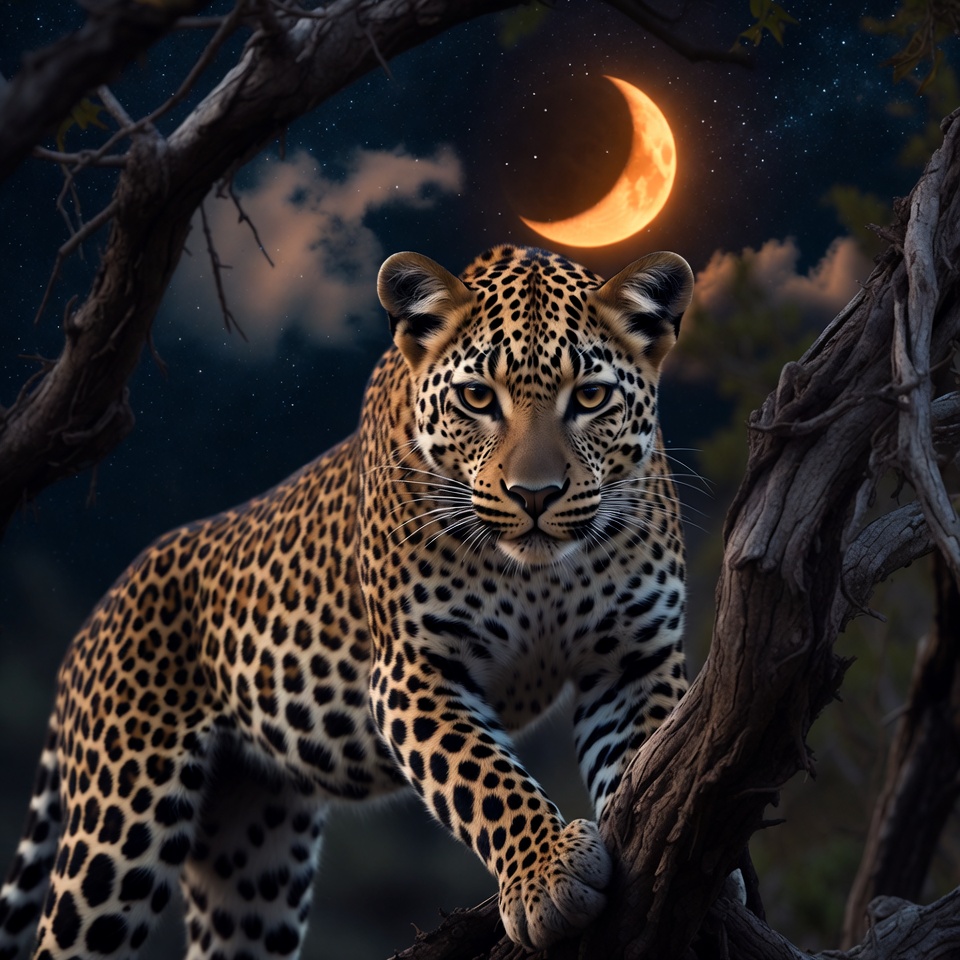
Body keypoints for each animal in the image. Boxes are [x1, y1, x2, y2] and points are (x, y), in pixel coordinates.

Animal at [0, 243, 694, 959]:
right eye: (477, 397)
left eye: (590, 396)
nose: (535, 495)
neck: (540, 574)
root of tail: (93, 623)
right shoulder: (414, 670)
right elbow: (484, 780)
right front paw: (546, 874)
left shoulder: (633, 658)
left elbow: (643, 755)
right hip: (119, 823)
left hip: (254, 858)